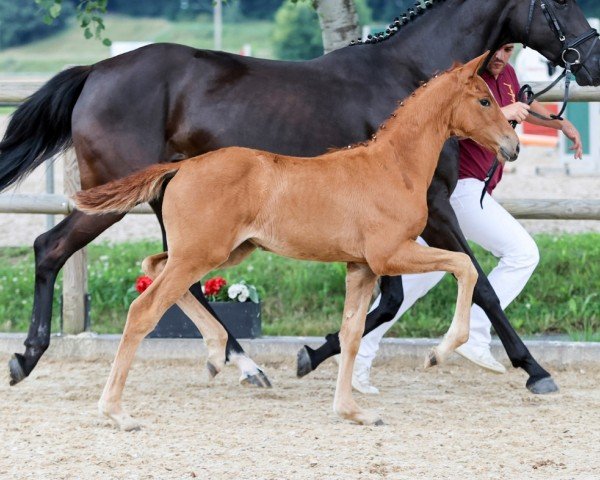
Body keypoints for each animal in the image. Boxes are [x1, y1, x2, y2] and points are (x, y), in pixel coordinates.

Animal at [76, 53, 520, 432]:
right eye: (484, 100)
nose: (512, 146)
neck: (394, 168)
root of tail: (183, 166)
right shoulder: (390, 255)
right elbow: (464, 266)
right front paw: (438, 353)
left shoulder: (361, 267)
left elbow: (351, 332)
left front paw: (352, 411)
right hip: (202, 253)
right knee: (143, 309)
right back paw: (118, 412)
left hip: (221, 251)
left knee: (153, 266)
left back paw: (216, 354)